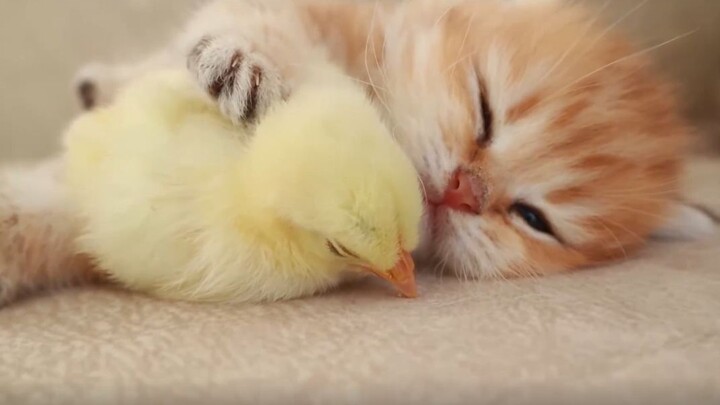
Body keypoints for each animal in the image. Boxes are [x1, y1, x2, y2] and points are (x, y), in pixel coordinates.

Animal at [0, 0, 716, 304]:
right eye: (486, 110)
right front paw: (243, 65)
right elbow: (254, 25)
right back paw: (99, 84)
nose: (464, 189)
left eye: (534, 219)